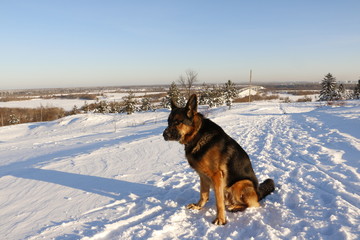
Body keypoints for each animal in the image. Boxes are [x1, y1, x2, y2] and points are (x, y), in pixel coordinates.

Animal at [163, 94, 276, 225]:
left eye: (177, 122)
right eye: (168, 122)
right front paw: (198, 206)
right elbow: (203, 194)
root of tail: (258, 193)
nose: (164, 135)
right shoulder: (203, 176)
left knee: (254, 204)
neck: (197, 135)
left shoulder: (216, 176)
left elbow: (219, 201)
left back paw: (235, 207)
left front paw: (221, 219)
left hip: (240, 184)